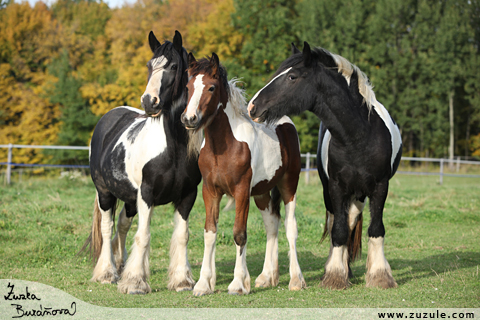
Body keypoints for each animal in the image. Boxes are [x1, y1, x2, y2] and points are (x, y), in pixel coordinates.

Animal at [84, 30, 201, 296]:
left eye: (173, 66)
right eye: (149, 65)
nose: (149, 101)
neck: (174, 148)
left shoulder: (188, 195)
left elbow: (182, 236)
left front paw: (182, 280)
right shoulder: (147, 195)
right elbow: (144, 235)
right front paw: (135, 282)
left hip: (129, 199)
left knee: (122, 225)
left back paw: (120, 265)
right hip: (105, 193)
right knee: (107, 228)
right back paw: (107, 273)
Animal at [180, 52, 308, 296]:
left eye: (211, 88)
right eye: (188, 86)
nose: (189, 119)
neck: (224, 147)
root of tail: (285, 122)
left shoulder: (241, 191)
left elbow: (239, 233)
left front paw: (238, 284)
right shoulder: (210, 191)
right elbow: (209, 232)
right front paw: (203, 284)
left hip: (289, 185)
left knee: (290, 227)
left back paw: (296, 280)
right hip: (262, 193)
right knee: (271, 225)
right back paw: (267, 277)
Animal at [248, 42, 402, 290]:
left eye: (292, 76)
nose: (253, 107)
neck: (359, 136)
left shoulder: (380, 187)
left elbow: (376, 228)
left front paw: (380, 276)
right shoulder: (336, 188)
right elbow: (338, 230)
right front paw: (335, 275)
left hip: (360, 193)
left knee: (352, 221)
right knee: (339, 223)